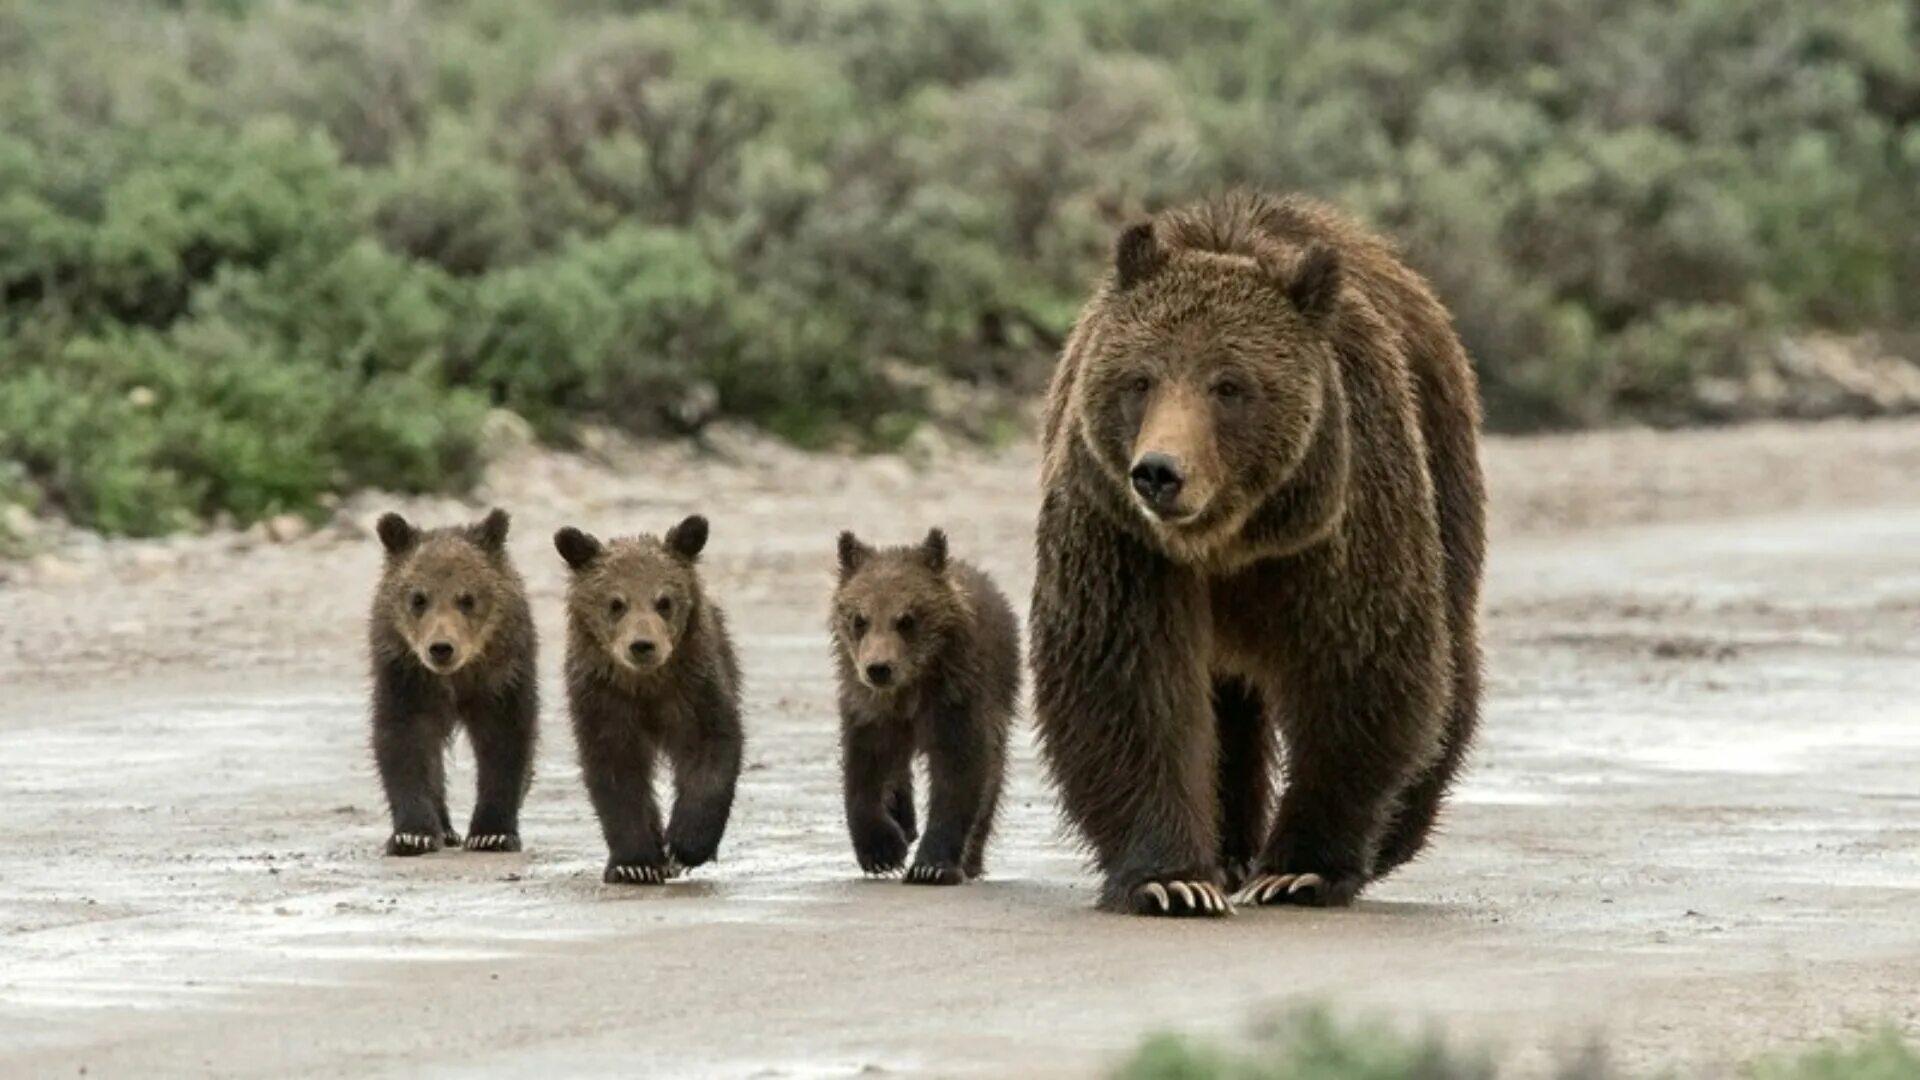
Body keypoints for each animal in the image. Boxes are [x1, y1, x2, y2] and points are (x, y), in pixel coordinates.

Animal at [368, 507, 537, 853]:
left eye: (467, 598)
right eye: (418, 598)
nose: (441, 648)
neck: (457, 677)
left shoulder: (502, 676)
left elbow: (505, 741)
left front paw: (492, 833)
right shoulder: (406, 675)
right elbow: (404, 740)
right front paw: (413, 834)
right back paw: (444, 829)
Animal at [556, 515, 741, 883]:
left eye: (664, 601)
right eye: (615, 603)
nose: (642, 645)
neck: (645, 686)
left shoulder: (694, 689)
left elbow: (712, 750)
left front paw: (684, 846)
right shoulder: (604, 700)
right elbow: (615, 772)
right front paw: (635, 863)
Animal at [833, 522, 1029, 883]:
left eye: (907, 619)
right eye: (859, 618)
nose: (879, 668)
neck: (910, 688)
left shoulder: (956, 699)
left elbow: (959, 771)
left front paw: (931, 866)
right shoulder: (869, 707)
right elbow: (864, 767)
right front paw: (881, 852)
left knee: (993, 775)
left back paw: (971, 858)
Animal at [1029, 189, 1489, 910]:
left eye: (1230, 385)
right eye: (1140, 379)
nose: (1159, 472)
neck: (1228, 539)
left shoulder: (1340, 521)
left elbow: (1361, 669)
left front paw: (1301, 868)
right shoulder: (1121, 533)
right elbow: (1125, 680)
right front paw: (1172, 879)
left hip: (1443, 464)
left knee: (1450, 652)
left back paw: (1395, 832)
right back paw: (1228, 849)